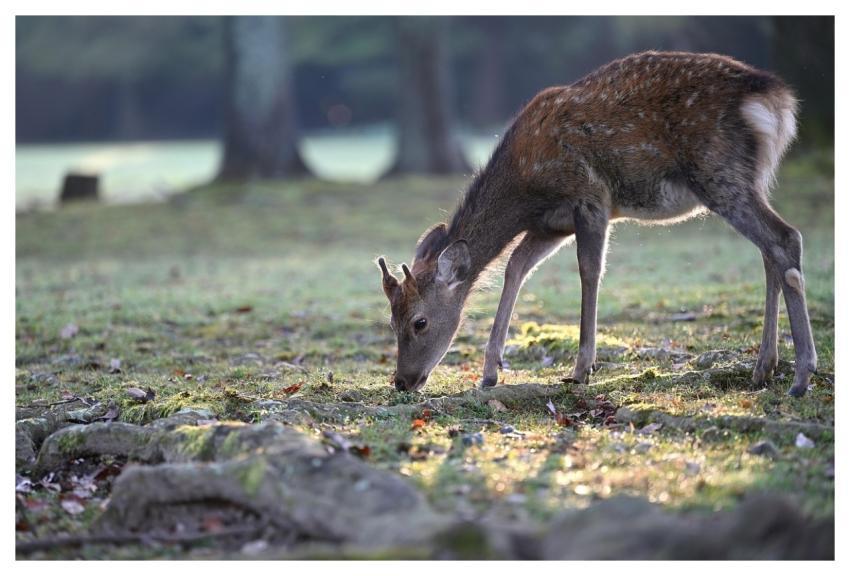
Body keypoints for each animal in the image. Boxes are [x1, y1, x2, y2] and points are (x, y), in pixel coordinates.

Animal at [377, 51, 816, 398]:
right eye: (391, 320)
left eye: (420, 322)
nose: (402, 381)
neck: (525, 186)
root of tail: (776, 99)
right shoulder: (550, 224)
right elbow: (515, 267)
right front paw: (490, 372)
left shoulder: (590, 197)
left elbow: (589, 271)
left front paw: (581, 369)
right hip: (753, 178)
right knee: (769, 252)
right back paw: (764, 368)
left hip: (718, 171)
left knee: (784, 238)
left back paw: (801, 375)